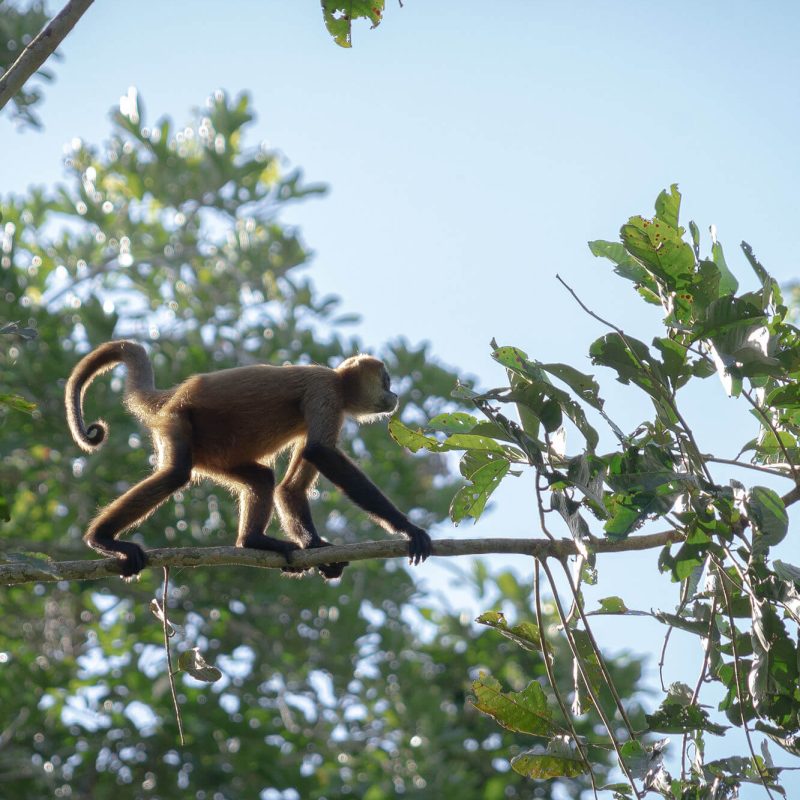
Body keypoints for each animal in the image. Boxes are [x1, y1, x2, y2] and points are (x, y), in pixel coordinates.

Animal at [65, 340, 432, 580]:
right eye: (386, 380)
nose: (394, 394)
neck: (340, 384)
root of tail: (173, 396)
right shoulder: (325, 390)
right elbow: (320, 452)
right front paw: (409, 529)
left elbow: (290, 488)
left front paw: (314, 546)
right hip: (178, 422)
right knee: (176, 474)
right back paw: (103, 539)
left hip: (214, 454)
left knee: (261, 479)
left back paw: (251, 541)